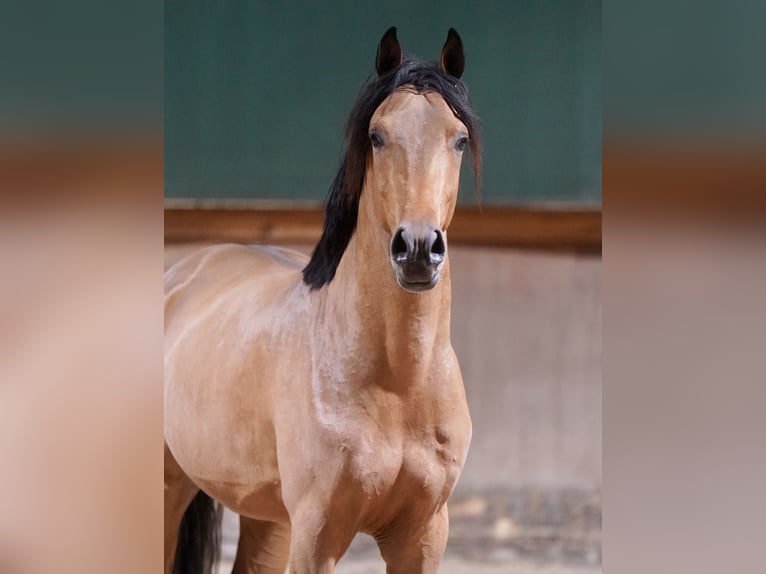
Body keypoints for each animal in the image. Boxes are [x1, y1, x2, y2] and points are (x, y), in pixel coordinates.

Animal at [165, 28, 484, 574]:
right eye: (377, 135)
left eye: (458, 139)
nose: (419, 249)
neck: (399, 384)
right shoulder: (318, 535)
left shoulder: (422, 536)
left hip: (268, 519)